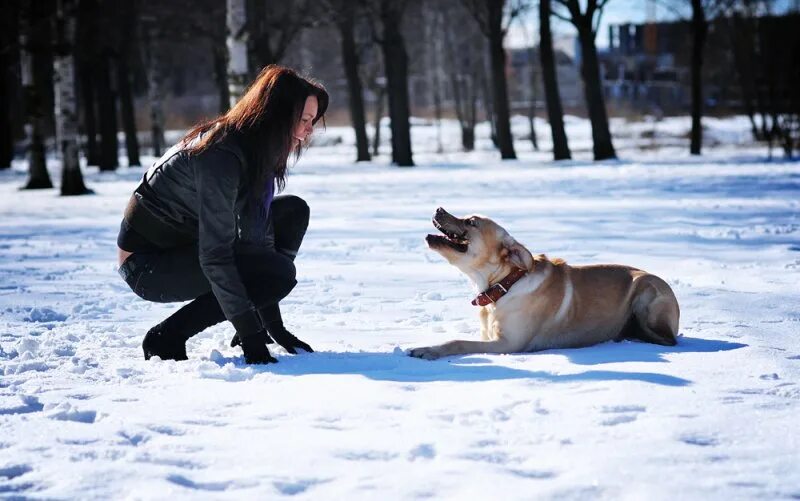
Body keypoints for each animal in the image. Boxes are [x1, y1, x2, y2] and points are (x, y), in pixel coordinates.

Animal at [410, 207, 680, 360]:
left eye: (471, 222)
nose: (439, 208)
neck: (505, 284)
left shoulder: (508, 343)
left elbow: (458, 342)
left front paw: (429, 349)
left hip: (647, 291)